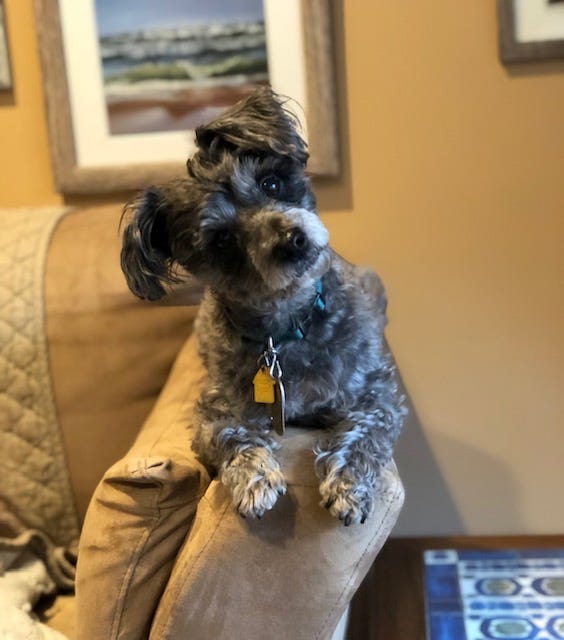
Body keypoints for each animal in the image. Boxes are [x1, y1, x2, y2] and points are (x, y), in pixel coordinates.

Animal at [120, 87, 406, 525]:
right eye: (222, 240)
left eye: (271, 182)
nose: (292, 241)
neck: (287, 327)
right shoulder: (214, 410)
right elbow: (233, 436)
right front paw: (254, 480)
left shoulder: (375, 394)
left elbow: (363, 436)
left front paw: (347, 485)